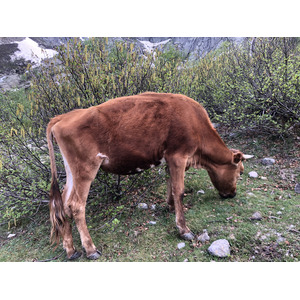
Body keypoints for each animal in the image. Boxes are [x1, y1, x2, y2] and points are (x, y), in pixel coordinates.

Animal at [46, 92, 244, 260]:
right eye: (240, 172)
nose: (232, 194)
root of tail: (63, 117)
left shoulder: (169, 159)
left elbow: (170, 185)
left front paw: (170, 206)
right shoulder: (178, 155)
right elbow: (179, 190)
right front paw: (183, 229)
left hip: (72, 171)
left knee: (62, 204)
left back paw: (71, 249)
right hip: (86, 169)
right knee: (76, 205)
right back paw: (90, 249)